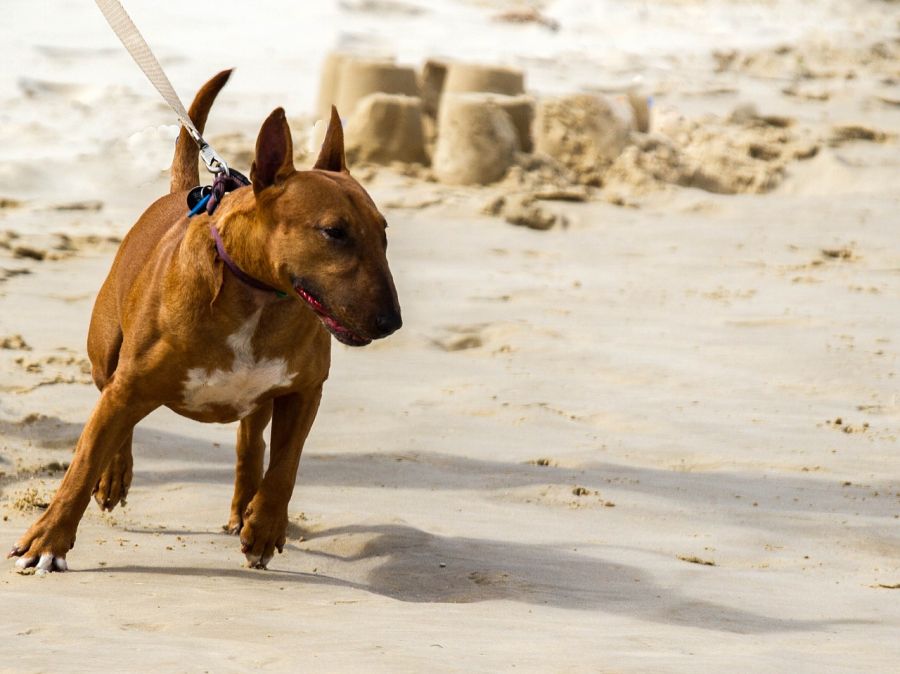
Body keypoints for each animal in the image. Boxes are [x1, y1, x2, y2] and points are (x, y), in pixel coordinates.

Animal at [9, 71, 400, 568]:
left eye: (383, 232)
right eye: (334, 232)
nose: (391, 322)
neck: (258, 297)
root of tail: (182, 193)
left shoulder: (305, 390)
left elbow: (286, 463)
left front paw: (264, 526)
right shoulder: (130, 385)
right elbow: (84, 462)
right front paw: (46, 543)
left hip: (258, 398)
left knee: (251, 440)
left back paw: (244, 509)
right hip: (106, 356)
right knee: (112, 409)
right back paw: (115, 476)